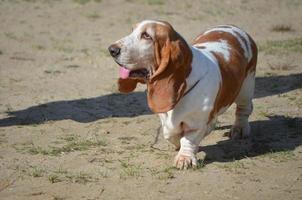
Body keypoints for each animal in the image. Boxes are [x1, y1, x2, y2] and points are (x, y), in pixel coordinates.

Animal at [108, 19, 258, 169]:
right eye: (132, 30)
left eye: (146, 36)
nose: (112, 49)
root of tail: (235, 28)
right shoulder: (166, 120)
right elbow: (170, 133)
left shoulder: (195, 123)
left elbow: (188, 140)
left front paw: (185, 158)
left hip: (246, 87)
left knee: (244, 110)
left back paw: (239, 129)